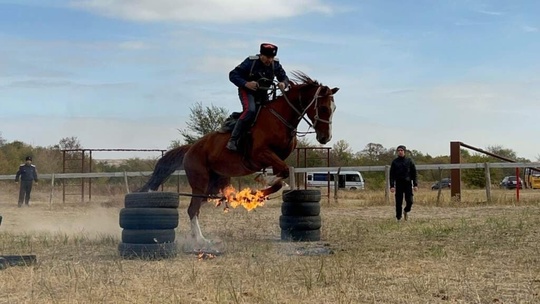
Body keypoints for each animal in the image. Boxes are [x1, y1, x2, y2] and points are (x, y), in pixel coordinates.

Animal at [138, 72, 338, 247]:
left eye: (333, 109)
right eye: (323, 108)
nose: (325, 138)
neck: (279, 118)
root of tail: (191, 148)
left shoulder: (275, 159)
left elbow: (280, 178)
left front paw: (261, 189)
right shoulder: (261, 154)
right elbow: (280, 174)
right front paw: (264, 181)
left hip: (214, 184)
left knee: (199, 206)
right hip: (200, 182)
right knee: (192, 209)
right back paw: (201, 240)